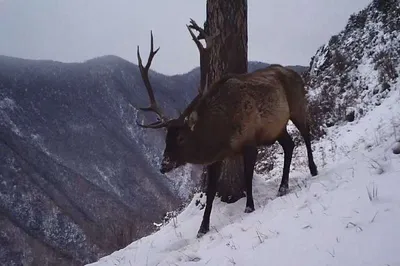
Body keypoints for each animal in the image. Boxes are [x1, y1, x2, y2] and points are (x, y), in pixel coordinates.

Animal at [136, 20, 318, 237]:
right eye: (166, 138)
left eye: (180, 137)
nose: (164, 165)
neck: (222, 134)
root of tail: (295, 73)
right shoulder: (216, 158)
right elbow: (211, 191)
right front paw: (202, 228)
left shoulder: (249, 140)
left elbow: (247, 176)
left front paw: (249, 206)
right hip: (277, 127)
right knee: (289, 145)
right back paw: (283, 187)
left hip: (298, 104)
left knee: (306, 132)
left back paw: (313, 169)